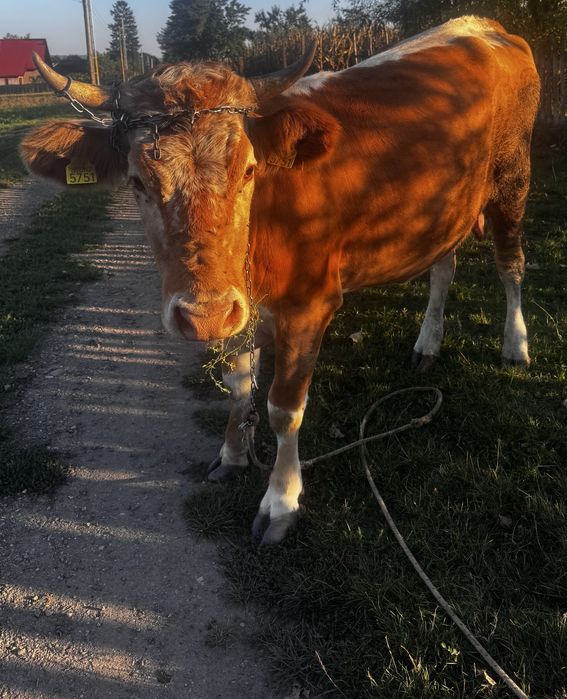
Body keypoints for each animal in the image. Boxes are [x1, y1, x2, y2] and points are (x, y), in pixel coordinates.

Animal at [21, 16, 540, 544]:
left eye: (250, 170)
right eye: (136, 181)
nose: (203, 314)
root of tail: (480, 25)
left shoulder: (308, 307)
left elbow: (283, 408)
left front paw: (282, 501)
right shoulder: (236, 309)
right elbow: (237, 385)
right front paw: (232, 454)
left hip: (513, 177)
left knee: (511, 265)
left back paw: (515, 345)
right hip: (445, 209)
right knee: (443, 268)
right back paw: (428, 343)